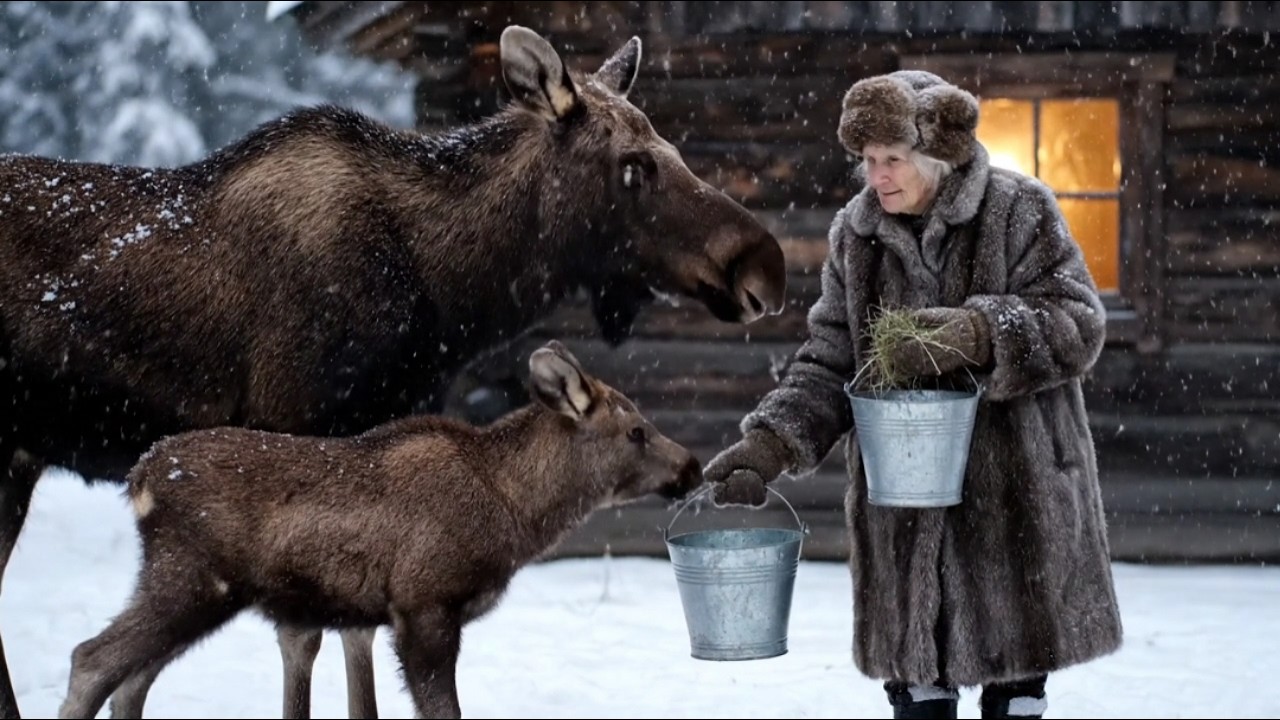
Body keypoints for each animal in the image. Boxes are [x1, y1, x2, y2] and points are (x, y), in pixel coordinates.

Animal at [0, 24, 786, 719]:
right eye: (633, 165)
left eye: (675, 146)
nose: (765, 266)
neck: (446, 295)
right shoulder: (296, 426)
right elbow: (311, 638)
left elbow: (355, 639)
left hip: (21, 460)